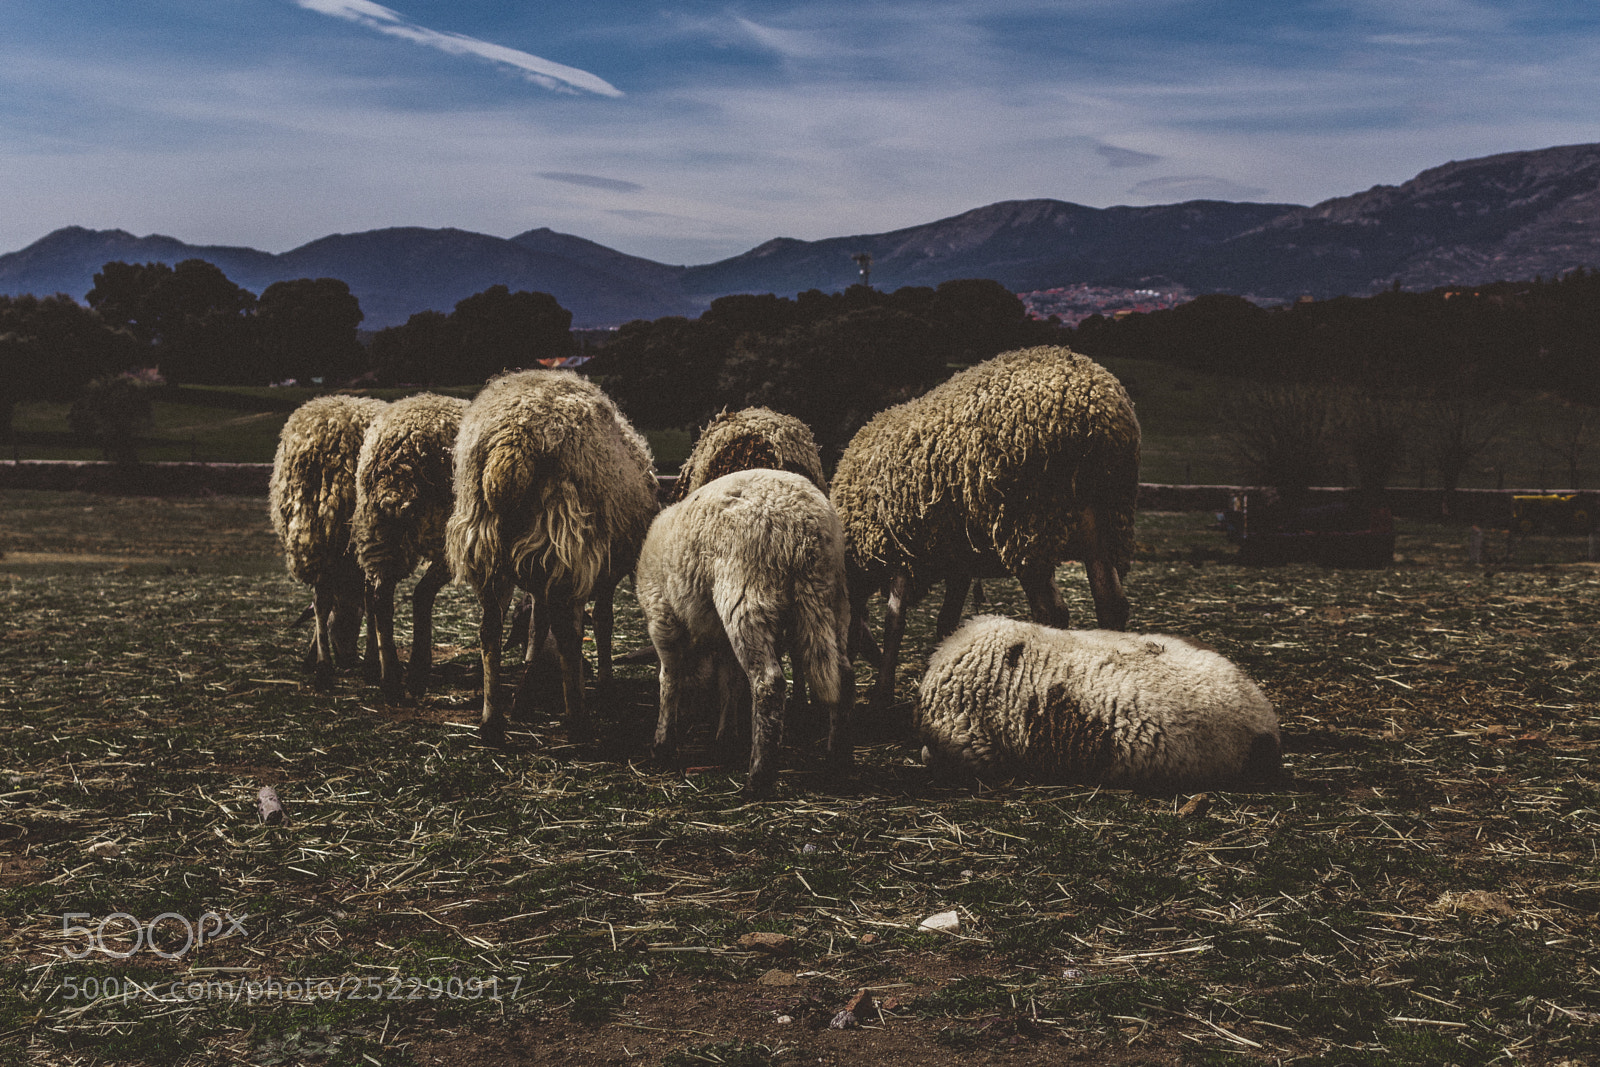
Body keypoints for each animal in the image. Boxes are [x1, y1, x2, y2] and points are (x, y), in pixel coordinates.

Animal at [268, 394, 389, 686]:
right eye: (349, 622)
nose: (348, 660)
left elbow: (323, 607)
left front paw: (317, 657)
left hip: (316, 534)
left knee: (325, 600)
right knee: (362, 599)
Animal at [351, 392, 470, 701]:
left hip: (377, 534)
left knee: (376, 596)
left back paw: (384, 675)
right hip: (442, 538)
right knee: (421, 594)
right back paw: (415, 674)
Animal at [445, 369, 658, 745]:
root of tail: (512, 441)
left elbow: (535, 626)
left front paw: (525, 693)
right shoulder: (599, 570)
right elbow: (602, 621)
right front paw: (604, 689)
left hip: (486, 546)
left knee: (489, 630)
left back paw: (491, 722)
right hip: (568, 541)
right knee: (568, 635)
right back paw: (577, 722)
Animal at [635, 468, 854, 796]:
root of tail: (805, 525)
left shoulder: (663, 619)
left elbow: (669, 680)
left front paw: (662, 744)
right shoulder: (720, 640)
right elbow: (730, 682)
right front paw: (724, 739)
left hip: (746, 595)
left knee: (769, 682)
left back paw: (758, 777)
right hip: (833, 597)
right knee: (844, 674)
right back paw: (837, 758)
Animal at [829, 345, 1140, 709]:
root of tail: (1094, 405)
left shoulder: (901, 549)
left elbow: (896, 621)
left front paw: (882, 693)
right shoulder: (958, 558)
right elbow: (945, 623)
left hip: (1028, 522)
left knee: (1053, 613)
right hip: (1105, 518)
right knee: (1112, 605)